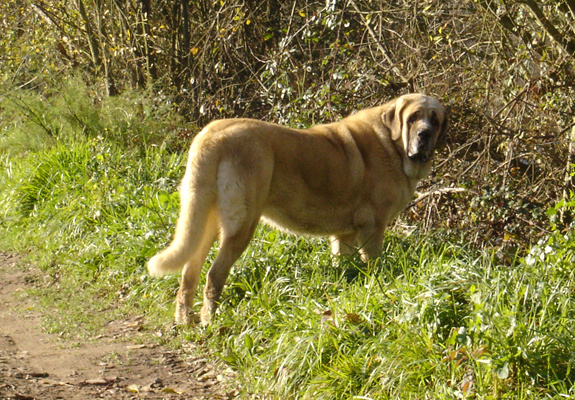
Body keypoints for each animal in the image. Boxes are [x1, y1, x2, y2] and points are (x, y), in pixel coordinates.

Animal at [148, 94, 450, 324]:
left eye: (434, 119)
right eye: (413, 118)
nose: (424, 134)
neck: (393, 145)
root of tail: (212, 134)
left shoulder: (344, 236)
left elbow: (344, 264)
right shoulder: (372, 230)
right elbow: (375, 266)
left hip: (205, 219)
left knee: (189, 273)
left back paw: (185, 321)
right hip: (241, 225)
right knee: (214, 274)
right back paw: (211, 321)